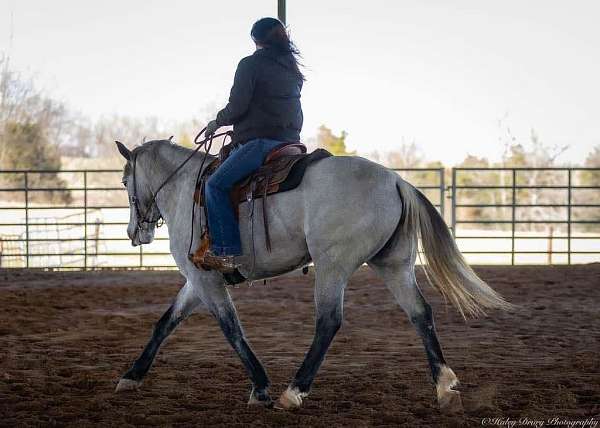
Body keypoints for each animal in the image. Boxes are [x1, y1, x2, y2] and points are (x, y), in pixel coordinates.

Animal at [113, 140, 510, 412]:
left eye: (123, 180)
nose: (135, 232)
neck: (186, 190)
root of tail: (396, 181)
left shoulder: (205, 279)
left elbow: (231, 328)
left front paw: (261, 387)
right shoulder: (197, 281)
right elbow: (165, 323)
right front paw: (131, 376)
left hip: (332, 266)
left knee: (328, 321)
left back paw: (293, 392)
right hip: (394, 265)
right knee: (420, 313)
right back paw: (444, 385)